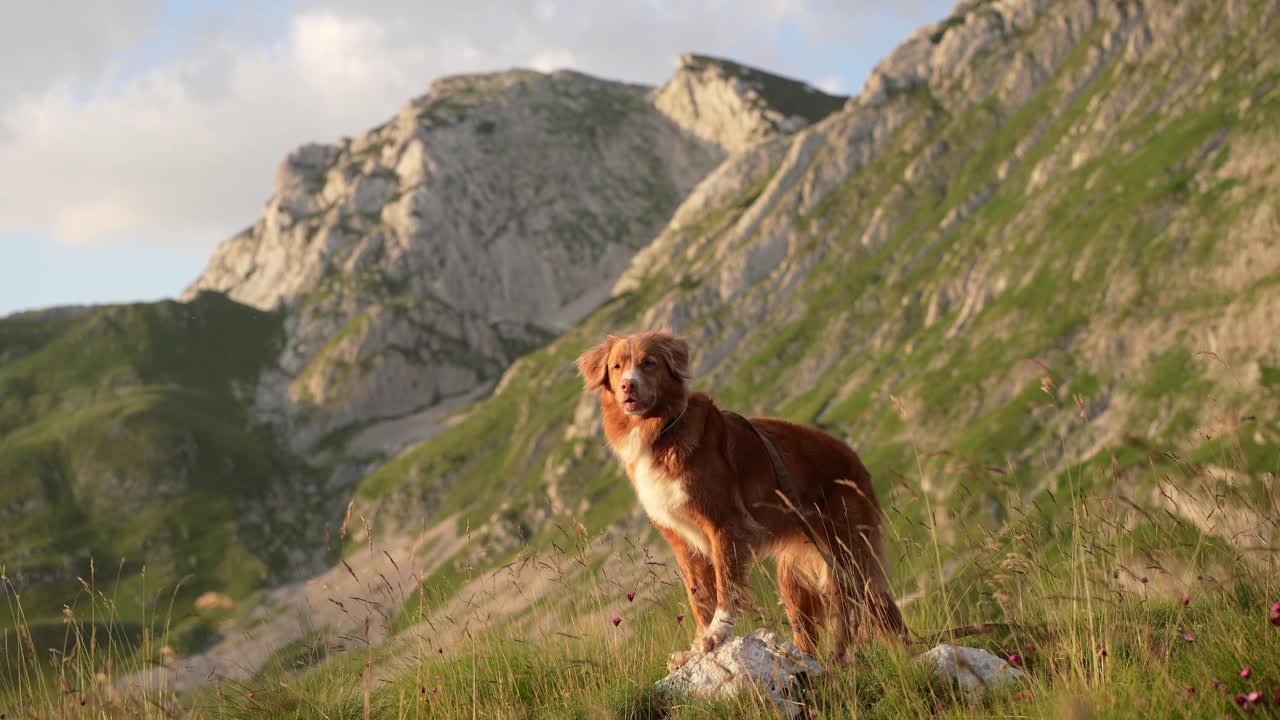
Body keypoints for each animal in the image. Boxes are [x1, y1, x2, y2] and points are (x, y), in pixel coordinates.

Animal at [576, 327, 906, 661]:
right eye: (617, 367)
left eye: (649, 363)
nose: (628, 385)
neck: (662, 431)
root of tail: (853, 457)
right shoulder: (681, 539)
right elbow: (698, 595)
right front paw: (696, 645)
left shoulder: (724, 523)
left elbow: (725, 585)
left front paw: (716, 633)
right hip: (795, 573)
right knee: (817, 629)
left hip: (848, 555)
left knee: (878, 607)